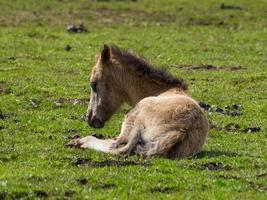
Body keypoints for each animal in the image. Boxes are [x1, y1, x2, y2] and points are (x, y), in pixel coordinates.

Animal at [70, 44, 210, 159]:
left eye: (93, 84)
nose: (90, 119)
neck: (168, 89)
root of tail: (180, 131)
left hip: (135, 117)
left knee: (118, 148)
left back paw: (79, 141)